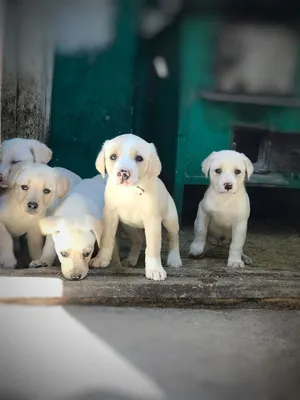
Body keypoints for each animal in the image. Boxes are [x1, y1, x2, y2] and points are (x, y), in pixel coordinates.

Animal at [90, 134, 182, 282]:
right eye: (113, 156)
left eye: (139, 158)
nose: (123, 173)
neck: (130, 191)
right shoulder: (110, 215)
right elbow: (106, 239)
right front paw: (101, 259)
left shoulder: (152, 219)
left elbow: (153, 247)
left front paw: (154, 270)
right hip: (128, 225)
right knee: (138, 239)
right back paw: (131, 259)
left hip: (171, 219)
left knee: (174, 237)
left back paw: (174, 259)